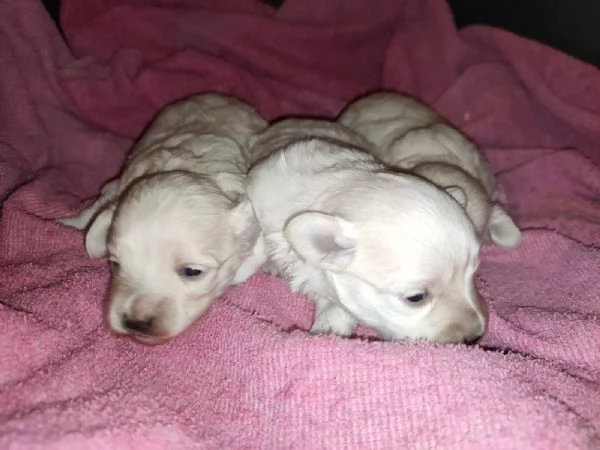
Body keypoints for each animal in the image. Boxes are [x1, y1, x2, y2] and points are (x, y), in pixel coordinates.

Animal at [59, 93, 267, 344]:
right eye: (116, 264)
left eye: (192, 272)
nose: (136, 323)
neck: (193, 169)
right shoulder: (117, 187)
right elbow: (98, 207)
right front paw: (73, 224)